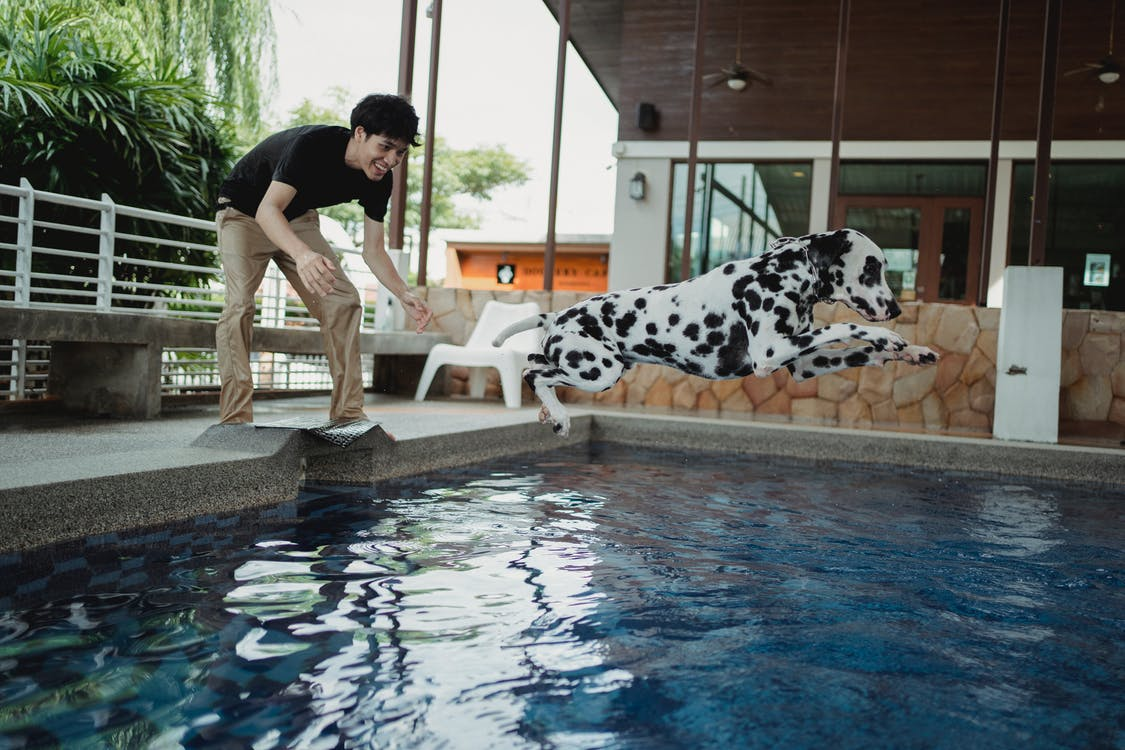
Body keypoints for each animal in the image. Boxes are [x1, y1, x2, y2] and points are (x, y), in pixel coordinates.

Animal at [492, 227, 940, 434]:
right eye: (872, 266)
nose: (897, 308)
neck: (784, 272)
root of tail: (558, 316)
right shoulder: (770, 355)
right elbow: (847, 324)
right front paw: (888, 338)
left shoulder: (803, 365)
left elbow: (857, 351)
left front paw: (910, 350)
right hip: (598, 370)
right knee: (533, 372)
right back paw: (560, 415)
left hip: (594, 367)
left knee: (536, 364)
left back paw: (550, 410)